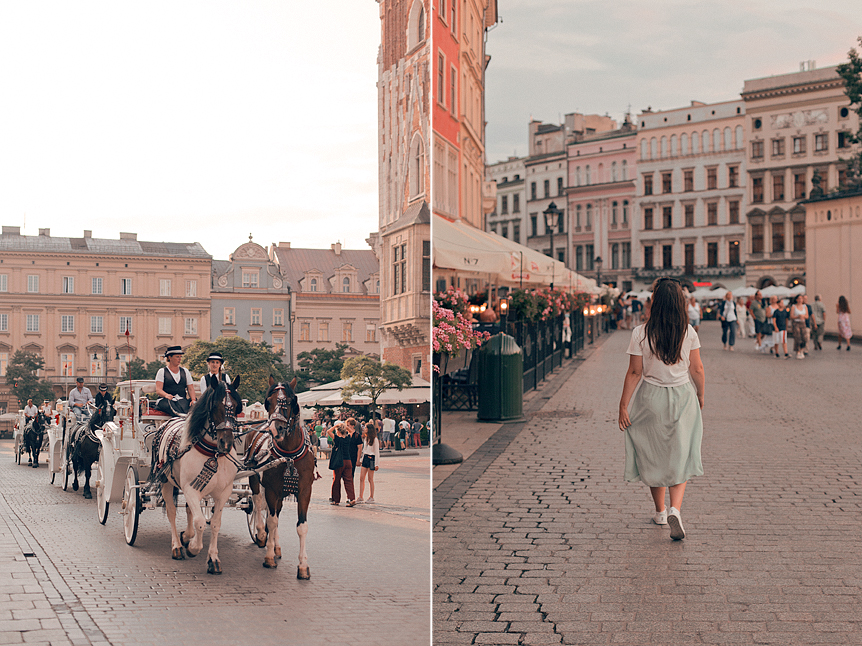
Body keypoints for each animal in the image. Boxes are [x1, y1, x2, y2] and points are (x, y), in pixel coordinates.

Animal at [154, 374, 241, 576]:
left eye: (235, 406)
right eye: (215, 405)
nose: (226, 443)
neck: (212, 453)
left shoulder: (223, 492)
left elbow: (215, 523)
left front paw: (213, 559)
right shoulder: (190, 490)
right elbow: (200, 521)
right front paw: (193, 548)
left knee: (188, 510)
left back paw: (186, 536)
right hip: (166, 482)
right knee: (171, 512)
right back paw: (178, 546)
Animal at [248, 378, 316, 580]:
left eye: (291, 401)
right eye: (268, 401)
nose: (275, 429)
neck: (289, 455)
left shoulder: (304, 491)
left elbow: (301, 526)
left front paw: (303, 566)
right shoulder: (271, 490)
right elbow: (271, 521)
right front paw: (269, 557)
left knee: (275, 512)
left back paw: (276, 546)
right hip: (255, 480)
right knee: (257, 504)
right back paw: (261, 535)